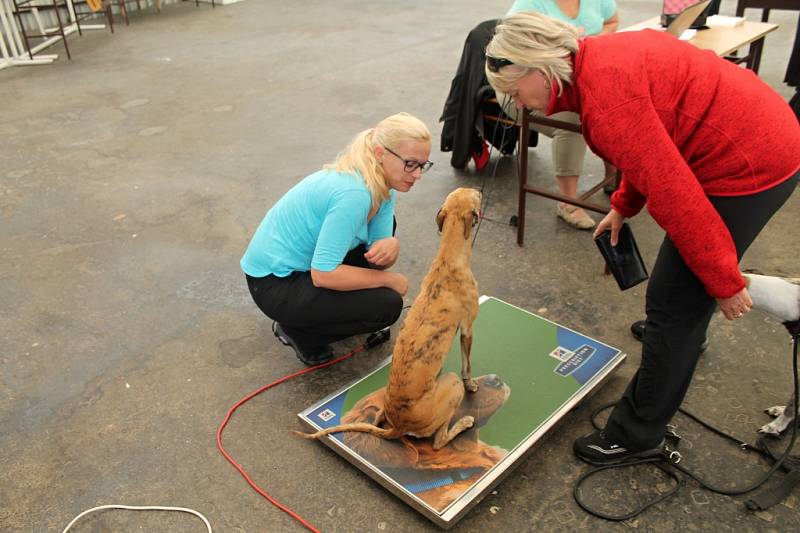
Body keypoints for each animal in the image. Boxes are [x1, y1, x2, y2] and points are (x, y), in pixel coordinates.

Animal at [296, 187, 478, 448]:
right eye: (475, 195)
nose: (479, 189)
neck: (448, 259)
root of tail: (398, 427)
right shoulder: (467, 328)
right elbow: (467, 365)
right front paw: (472, 384)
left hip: (384, 403)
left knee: (376, 419)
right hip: (452, 386)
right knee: (439, 440)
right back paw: (463, 423)